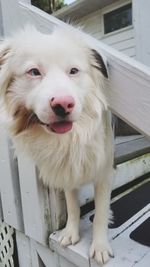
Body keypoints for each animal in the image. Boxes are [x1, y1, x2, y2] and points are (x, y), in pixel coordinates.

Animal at [0, 26, 113, 264]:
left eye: (74, 71)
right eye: (34, 72)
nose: (63, 104)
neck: (70, 139)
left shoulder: (105, 172)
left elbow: (100, 212)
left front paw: (99, 247)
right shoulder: (67, 172)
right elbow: (72, 205)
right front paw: (71, 233)